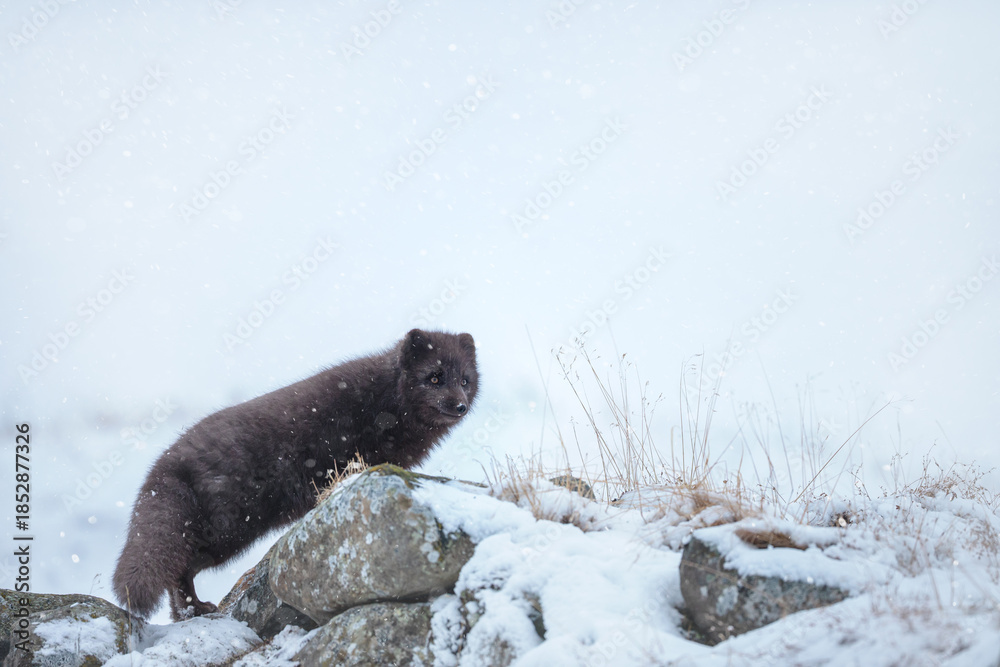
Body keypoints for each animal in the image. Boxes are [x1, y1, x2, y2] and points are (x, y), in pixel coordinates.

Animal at [113, 329, 478, 621]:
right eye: (434, 377)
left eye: (465, 380)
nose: (460, 406)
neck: (386, 402)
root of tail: (163, 467)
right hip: (227, 530)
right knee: (181, 568)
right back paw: (195, 608)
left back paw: (186, 613)